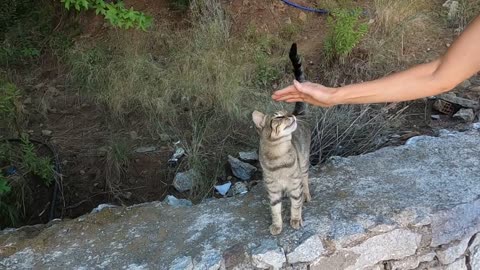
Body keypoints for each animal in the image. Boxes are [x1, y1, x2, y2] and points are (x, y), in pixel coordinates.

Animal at [251, 43, 312, 235]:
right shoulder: (272, 189)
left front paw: (296, 220)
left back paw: (307, 195)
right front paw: (277, 225)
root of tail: (300, 114)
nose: (290, 116)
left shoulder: (294, 182)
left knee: (305, 180)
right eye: (278, 117)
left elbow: (296, 205)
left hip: (304, 161)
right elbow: (275, 209)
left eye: (286, 113)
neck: (278, 156)